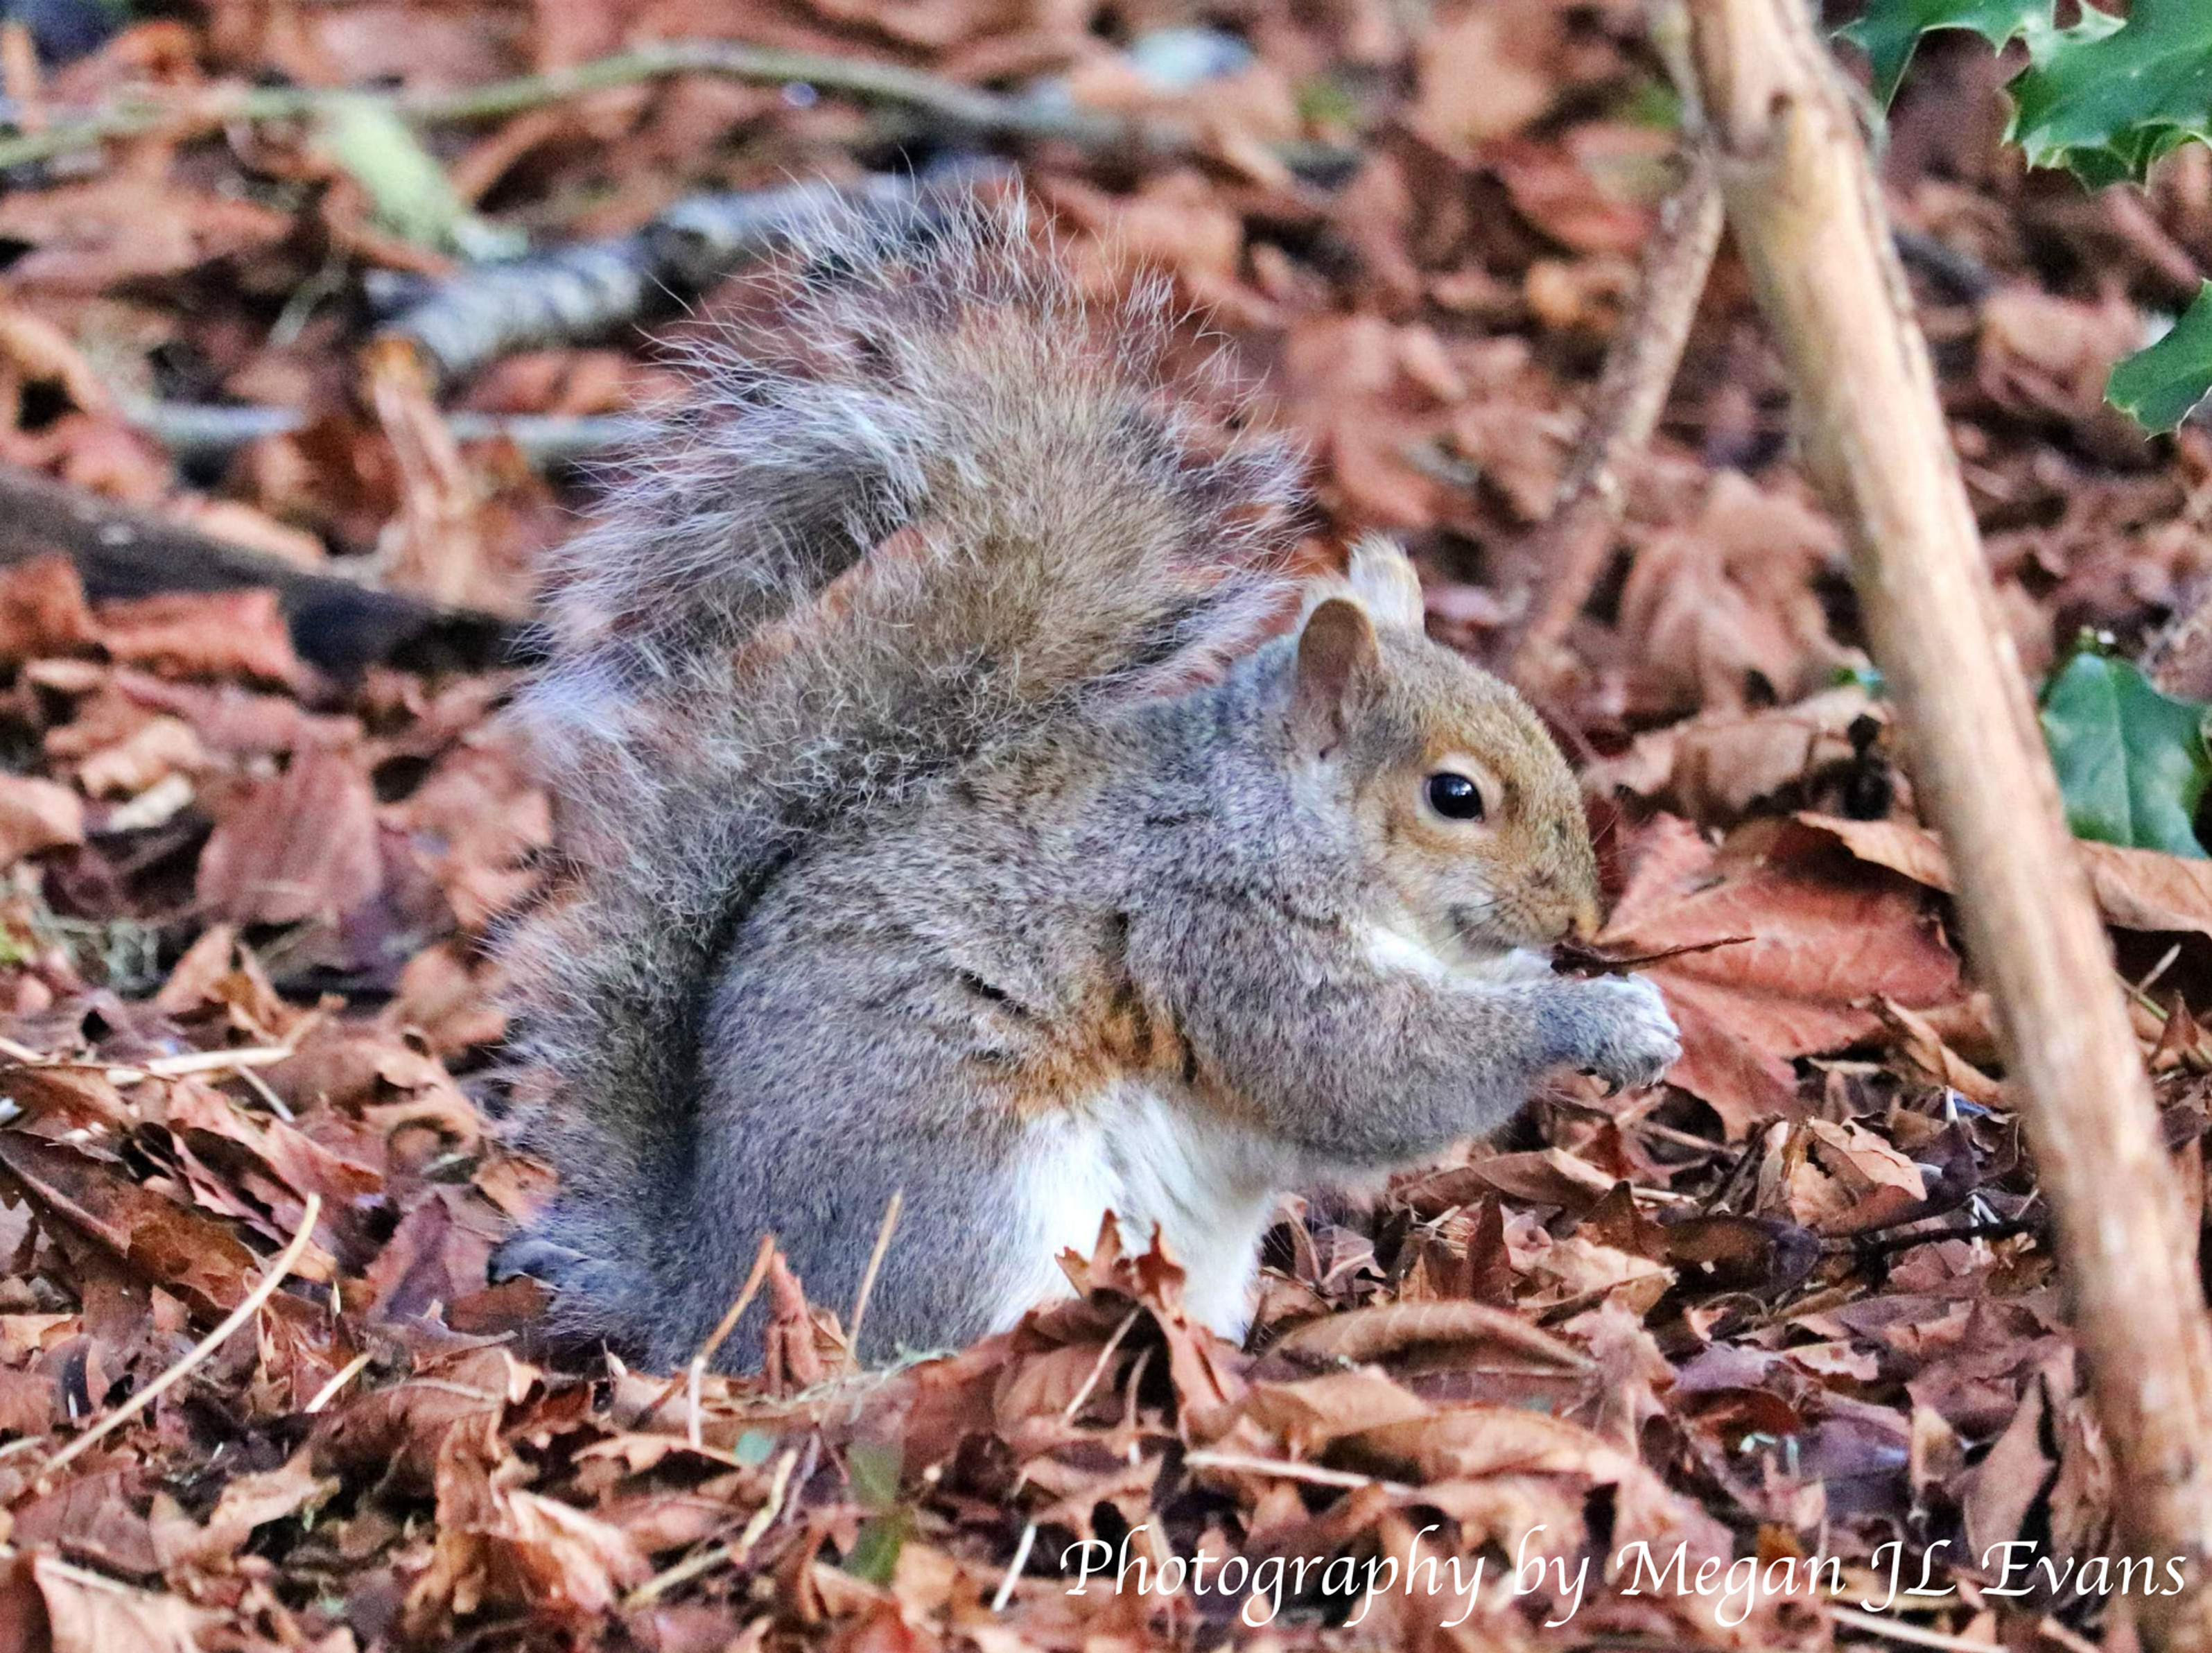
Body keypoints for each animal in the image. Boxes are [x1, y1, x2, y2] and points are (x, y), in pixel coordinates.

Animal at [488, 188, 1681, 1372]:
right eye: (1454, 797)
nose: (1580, 917)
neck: (1268, 818)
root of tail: (709, 1300)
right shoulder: (1213, 932)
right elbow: (1359, 1067)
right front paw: (1588, 1017)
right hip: (972, 1197)